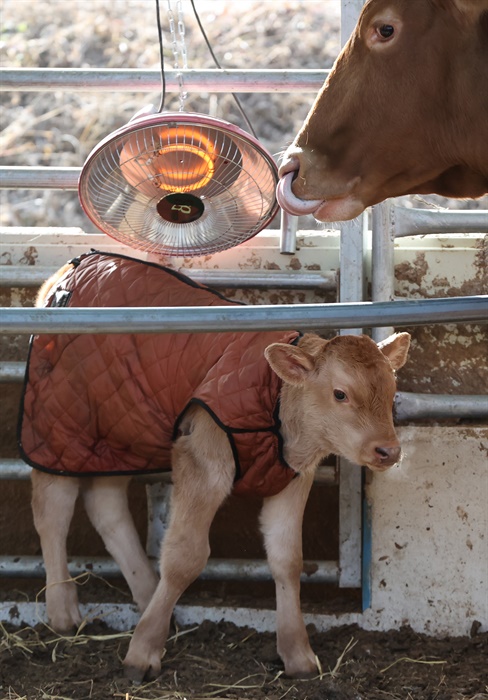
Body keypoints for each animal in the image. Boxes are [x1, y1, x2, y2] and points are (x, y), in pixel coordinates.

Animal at [23, 250, 412, 680]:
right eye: (340, 394)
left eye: (392, 389)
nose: (388, 450)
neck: (275, 403)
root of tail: (69, 270)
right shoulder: (202, 459)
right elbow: (185, 557)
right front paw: (142, 653)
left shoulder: (292, 478)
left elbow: (287, 559)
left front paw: (298, 654)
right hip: (58, 424)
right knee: (52, 510)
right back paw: (63, 609)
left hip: (118, 433)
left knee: (105, 504)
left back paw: (147, 595)